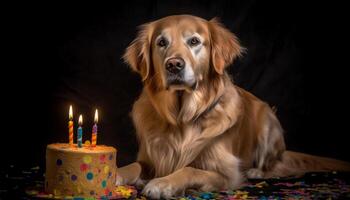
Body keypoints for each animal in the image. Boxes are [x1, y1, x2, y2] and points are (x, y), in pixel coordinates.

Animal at [117, 14, 350, 198]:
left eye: (194, 41)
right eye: (161, 43)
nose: (174, 64)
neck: (182, 118)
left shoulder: (227, 174)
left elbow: (189, 170)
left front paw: (162, 183)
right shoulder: (149, 159)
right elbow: (134, 165)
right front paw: (117, 173)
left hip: (268, 122)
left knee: (275, 165)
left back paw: (257, 171)